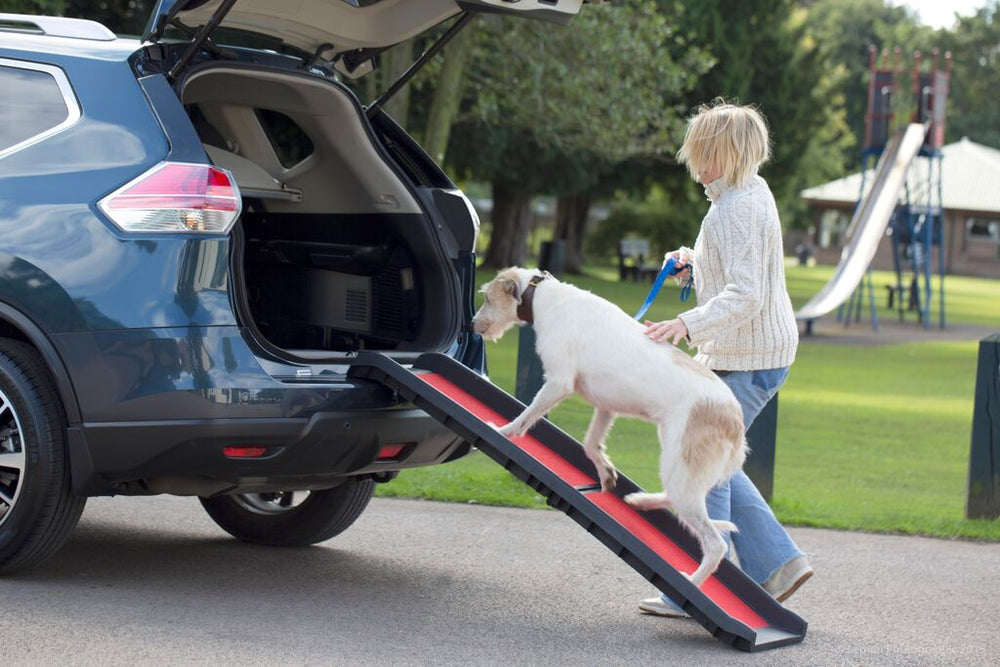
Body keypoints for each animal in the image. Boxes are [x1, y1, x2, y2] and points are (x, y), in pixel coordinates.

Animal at [472, 268, 748, 588]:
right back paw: (642, 501)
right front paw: (605, 473)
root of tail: (735, 419)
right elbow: (591, 444)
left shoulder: (558, 382)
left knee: (715, 544)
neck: (544, 297)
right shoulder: (606, 406)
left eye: (487, 298)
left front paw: (504, 431)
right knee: (679, 498)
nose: (471, 324)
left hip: (682, 462)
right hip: (680, 467)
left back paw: (690, 581)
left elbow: (526, 415)